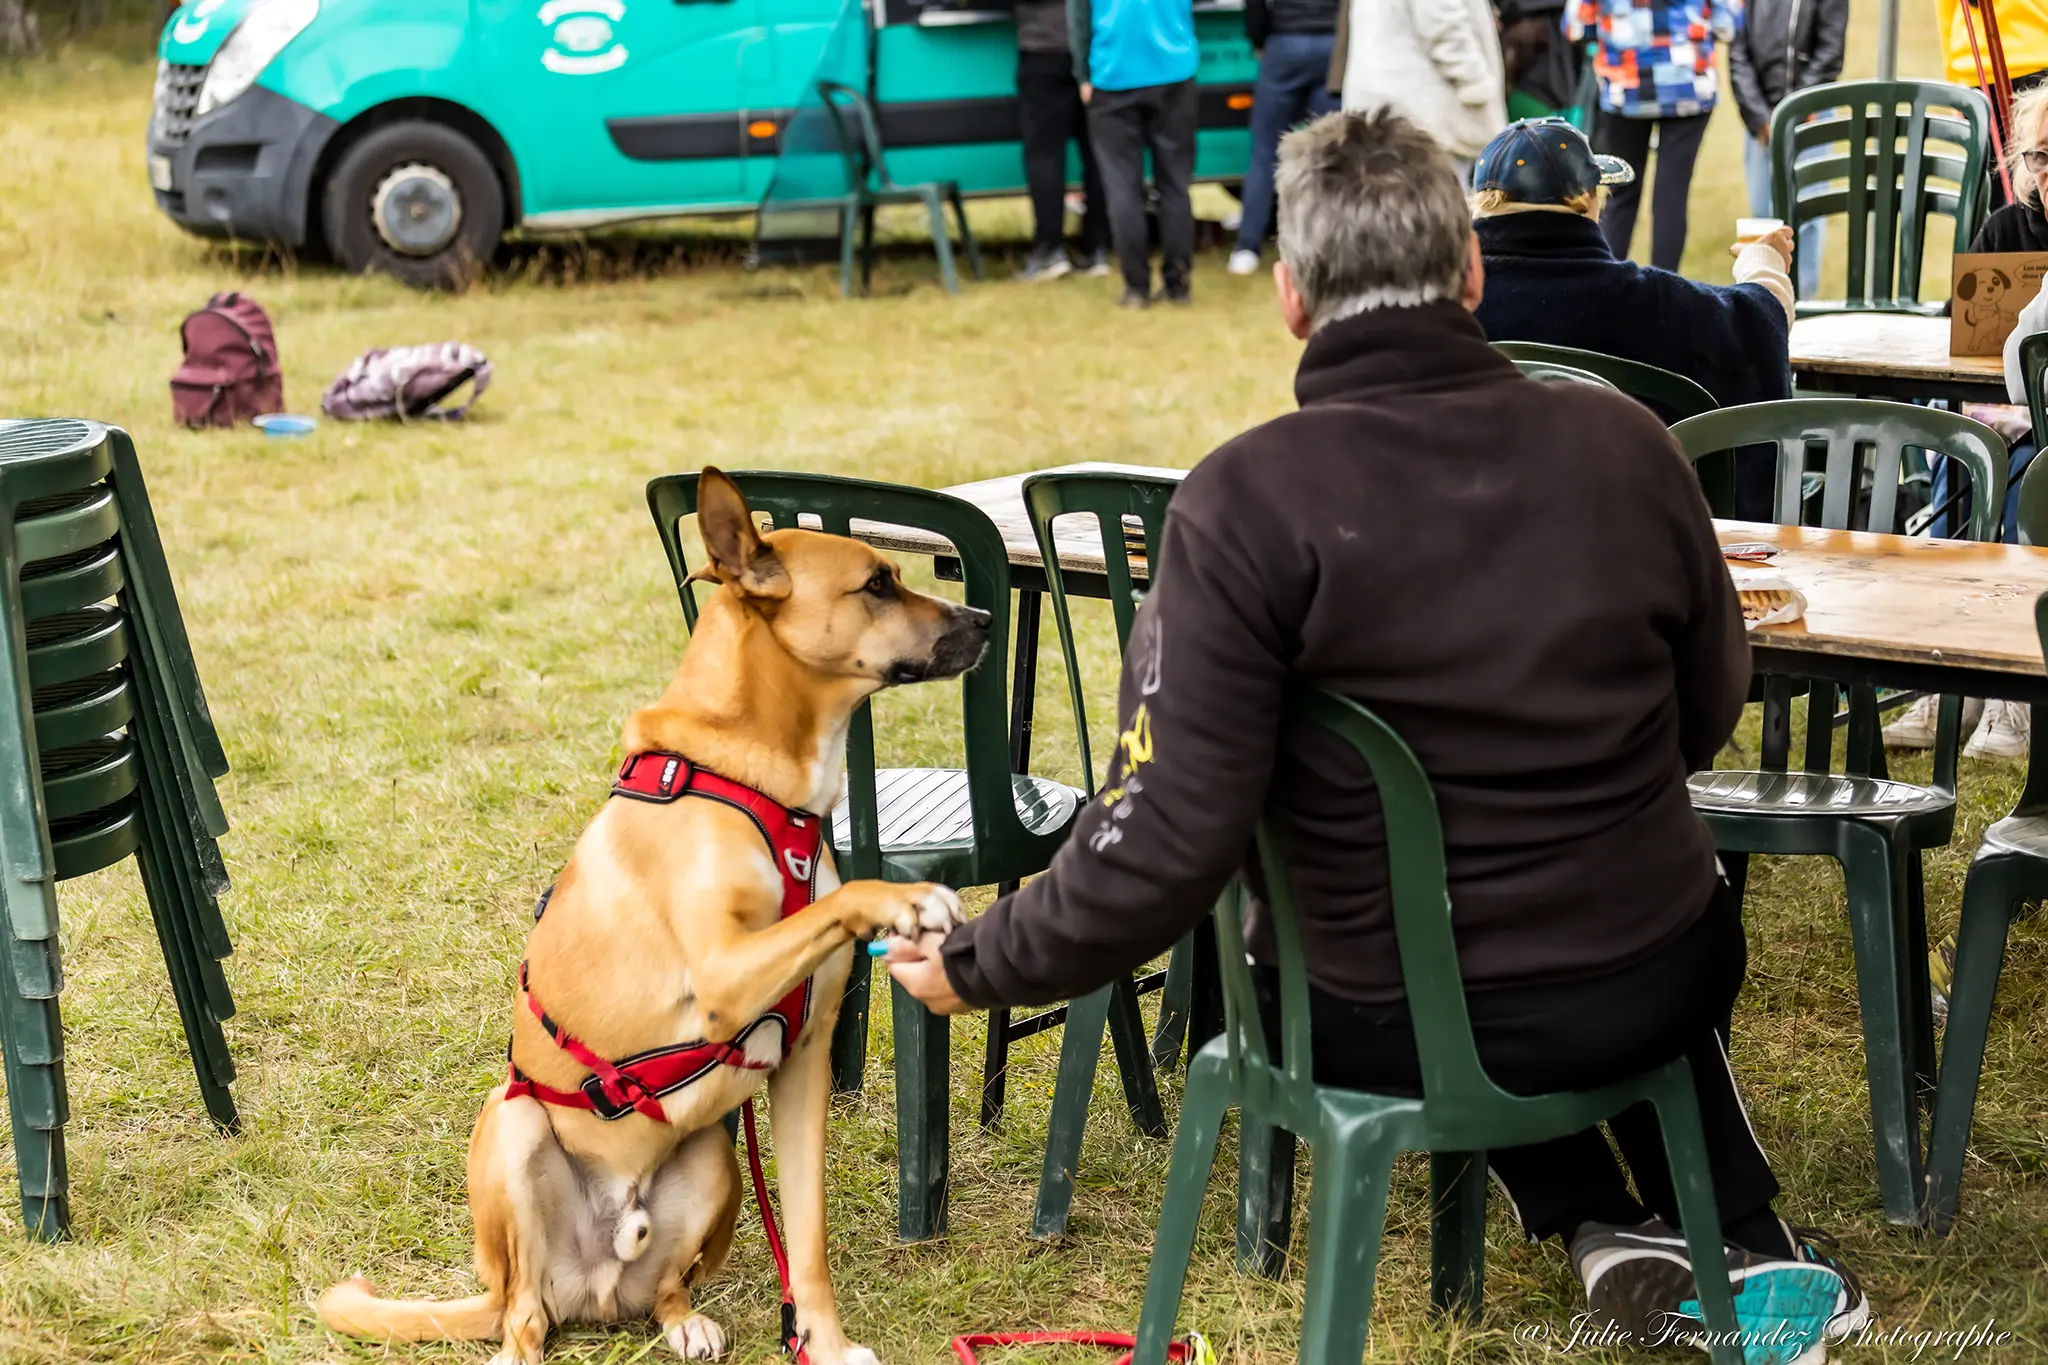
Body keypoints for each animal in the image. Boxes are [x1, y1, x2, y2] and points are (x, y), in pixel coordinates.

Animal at [315, 472, 987, 1365]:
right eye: (877, 583)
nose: (985, 620)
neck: (765, 787)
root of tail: (594, 1281)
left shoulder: (804, 1061)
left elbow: (806, 1238)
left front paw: (826, 1342)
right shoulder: (725, 975)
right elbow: (843, 898)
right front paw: (902, 898)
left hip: (713, 1158)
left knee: (662, 1288)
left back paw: (684, 1319)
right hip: (514, 1126)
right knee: (523, 1315)